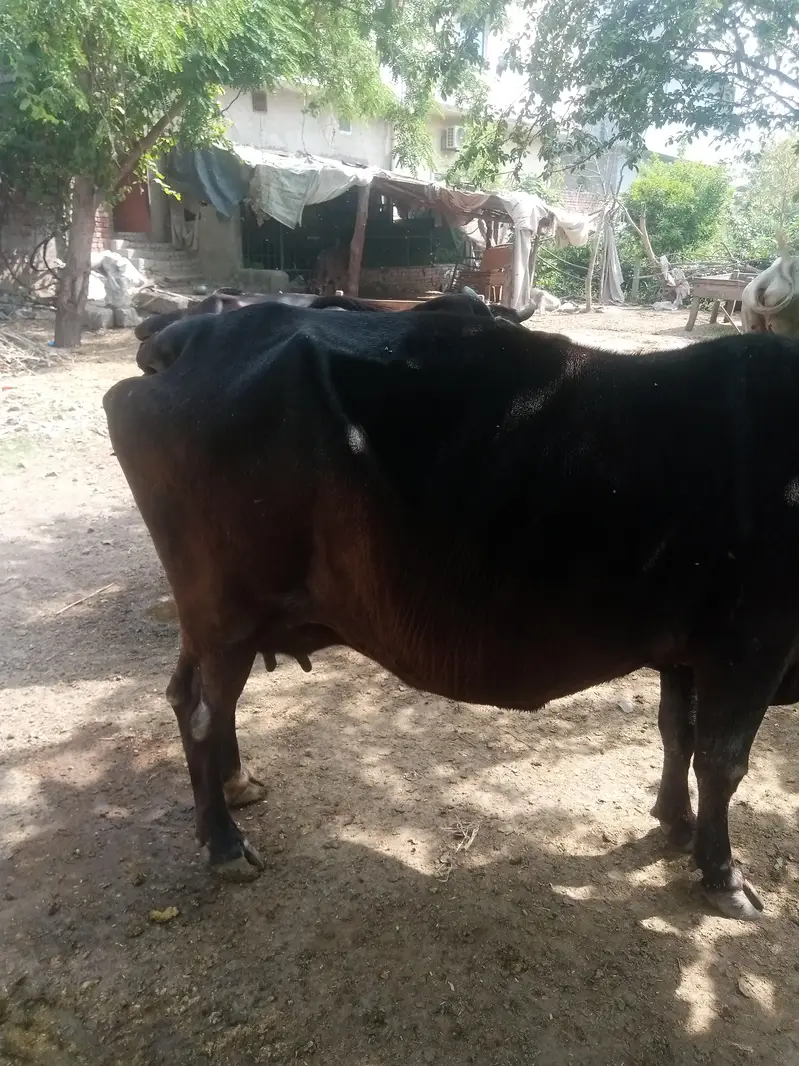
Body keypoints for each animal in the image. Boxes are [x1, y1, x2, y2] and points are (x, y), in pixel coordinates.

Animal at [104, 300, 799, 921]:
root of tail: (194, 337)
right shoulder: (753, 646)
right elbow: (722, 760)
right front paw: (723, 875)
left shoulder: (691, 651)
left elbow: (679, 735)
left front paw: (676, 825)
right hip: (228, 614)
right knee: (203, 714)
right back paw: (224, 844)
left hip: (210, 617)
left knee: (187, 696)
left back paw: (235, 787)